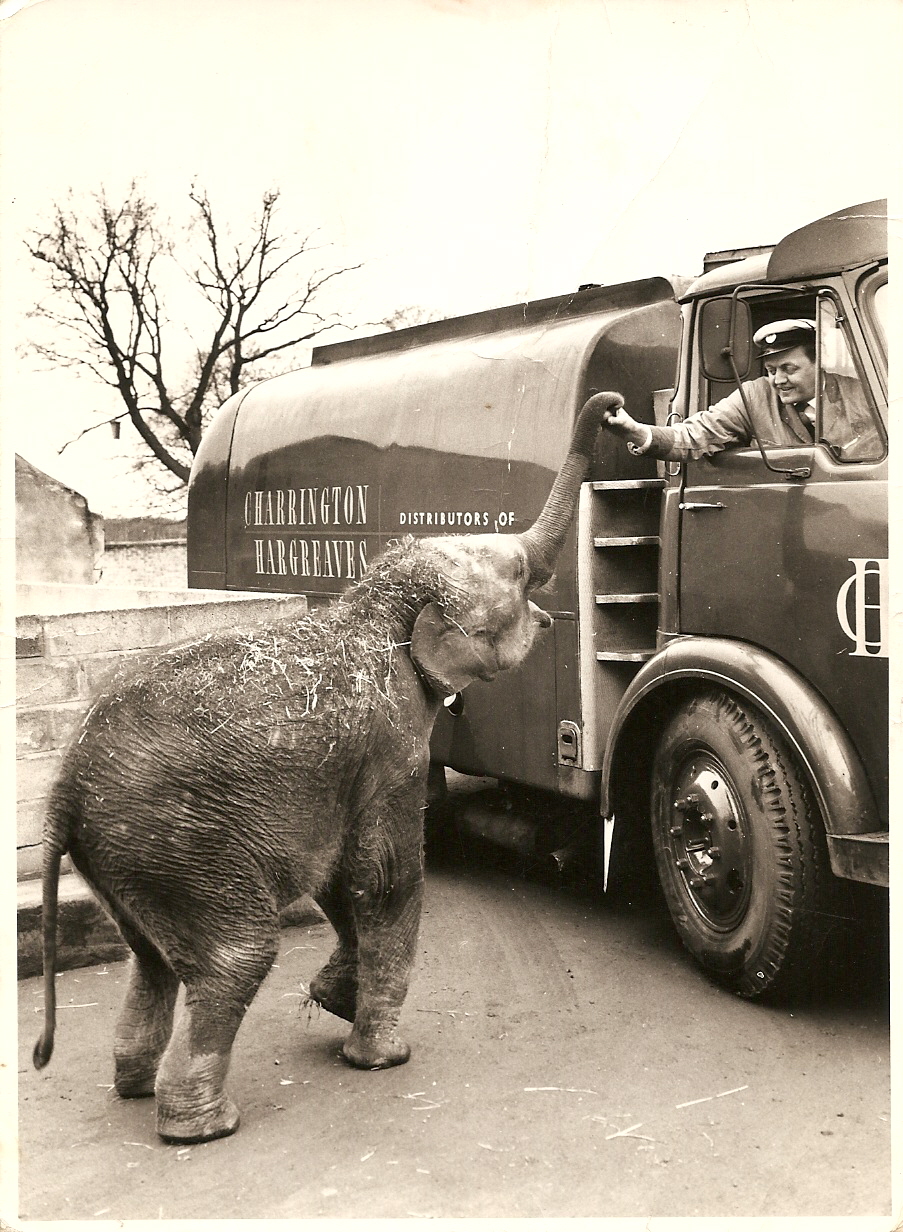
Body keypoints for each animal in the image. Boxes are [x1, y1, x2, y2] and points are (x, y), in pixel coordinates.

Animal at [33, 389, 624, 1144]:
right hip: (180, 849)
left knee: (151, 959)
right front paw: (384, 1057)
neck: (373, 605)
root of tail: (63, 792)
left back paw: (136, 1089)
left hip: (128, 863)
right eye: (517, 574)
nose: (613, 406)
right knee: (237, 954)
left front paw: (332, 1000)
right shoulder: (392, 741)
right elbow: (385, 876)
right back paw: (204, 1127)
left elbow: (343, 879)